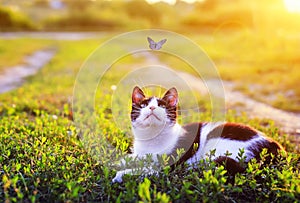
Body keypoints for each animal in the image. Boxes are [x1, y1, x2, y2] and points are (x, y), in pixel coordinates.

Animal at [112, 86, 284, 183]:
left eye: (162, 105)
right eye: (144, 105)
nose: (152, 108)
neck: (152, 139)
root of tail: (277, 147)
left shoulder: (169, 164)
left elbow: (146, 169)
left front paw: (121, 174)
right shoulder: (141, 153)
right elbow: (132, 158)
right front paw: (117, 163)